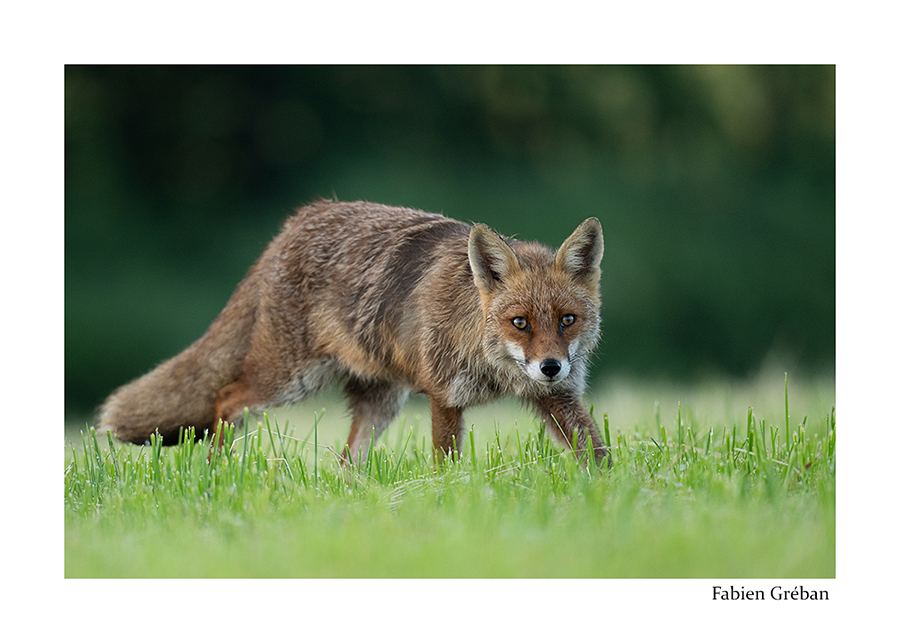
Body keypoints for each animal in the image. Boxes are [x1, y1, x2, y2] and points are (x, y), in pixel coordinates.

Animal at [99, 200, 610, 466]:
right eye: (519, 322)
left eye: (567, 320)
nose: (550, 366)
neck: (498, 371)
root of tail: (296, 222)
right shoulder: (445, 396)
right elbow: (447, 466)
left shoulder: (557, 398)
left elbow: (597, 454)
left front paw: (611, 498)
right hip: (288, 380)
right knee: (227, 398)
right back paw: (218, 470)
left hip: (381, 402)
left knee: (347, 460)